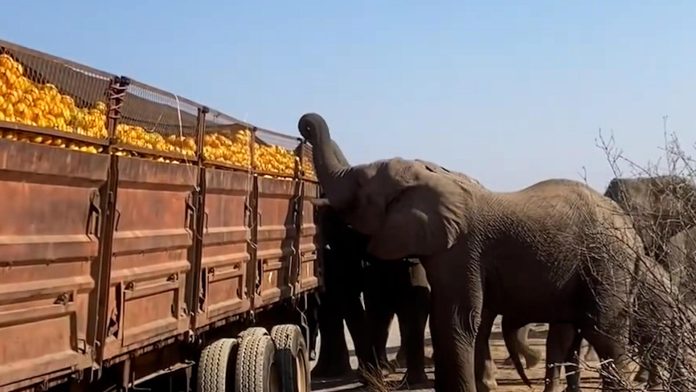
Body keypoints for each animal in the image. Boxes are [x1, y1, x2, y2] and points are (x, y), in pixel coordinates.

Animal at [300, 112, 664, 392]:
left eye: (360, 187)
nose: (304, 126)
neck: (432, 178)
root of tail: (631, 231)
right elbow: (446, 319)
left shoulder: (461, 248)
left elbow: (456, 319)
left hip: (607, 263)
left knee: (604, 332)